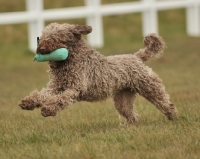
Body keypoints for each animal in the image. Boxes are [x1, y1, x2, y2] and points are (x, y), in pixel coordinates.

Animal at [19, 22, 178, 124]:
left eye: (55, 37)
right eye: (42, 36)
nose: (40, 49)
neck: (69, 61)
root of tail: (136, 57)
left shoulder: (75, 88)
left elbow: (60, 99)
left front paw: (48, 109)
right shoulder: (55, 87)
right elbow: (42, 94)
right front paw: (28, 102)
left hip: (150, 87)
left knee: (165, 103)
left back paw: (173, 117)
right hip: (122, 98)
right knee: (132, 115)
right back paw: (128, 127)